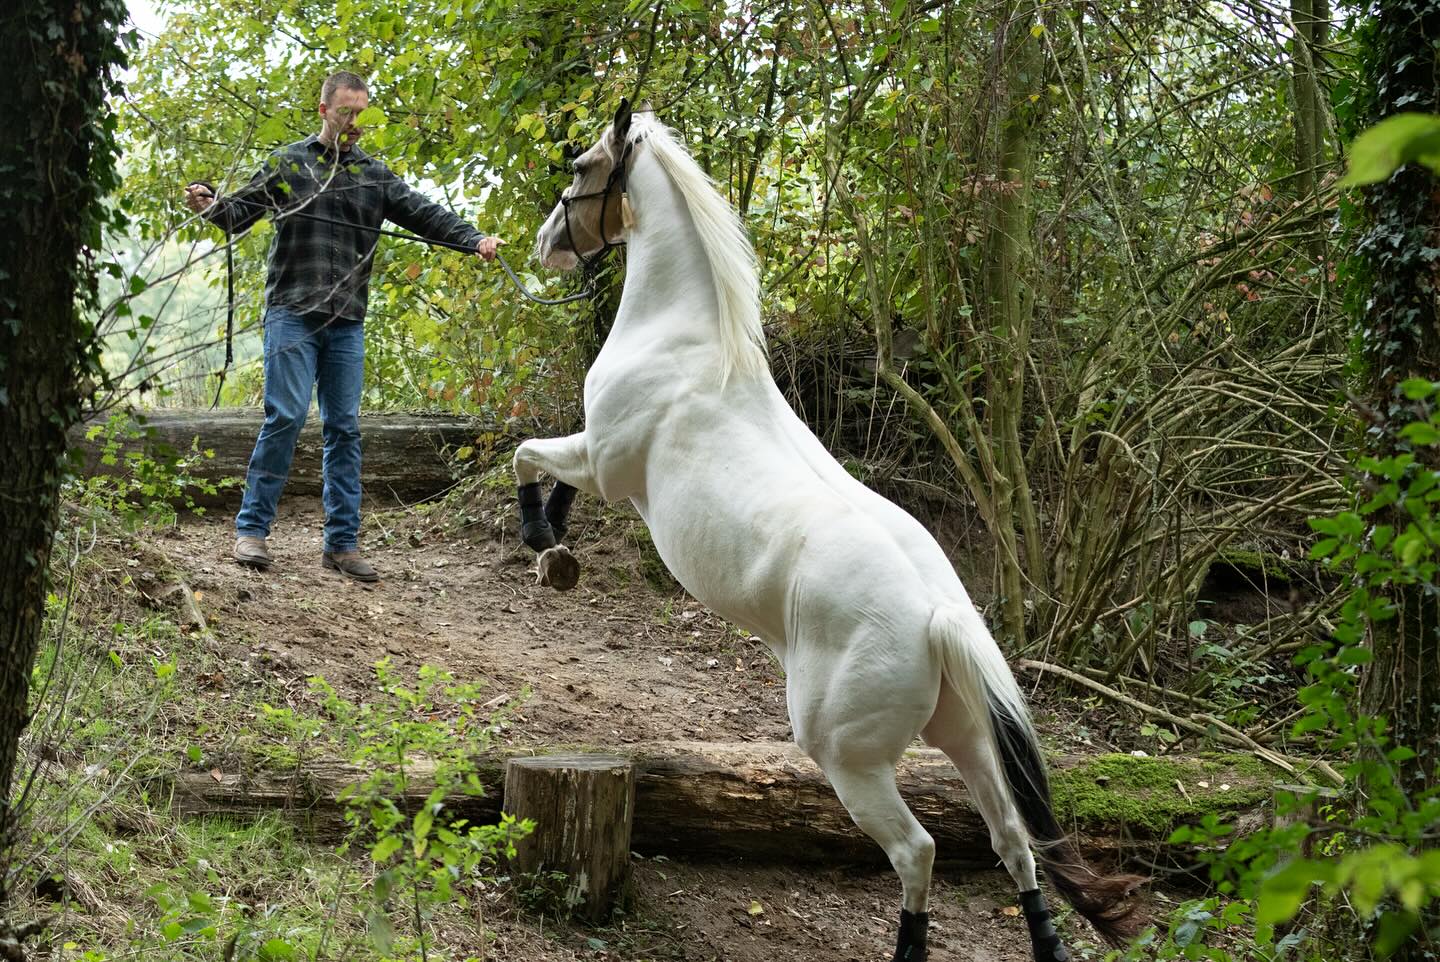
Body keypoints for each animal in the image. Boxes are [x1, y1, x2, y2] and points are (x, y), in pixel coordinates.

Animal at [512, 100, 1143, 962]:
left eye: (580, 168)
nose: (544, 244)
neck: (685, 344)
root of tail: (938, 615)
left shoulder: (607, 461)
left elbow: (528, 456)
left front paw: (544, 546)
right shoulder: (603, 462)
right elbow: (548, 471)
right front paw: (555, 544)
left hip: (848, 757)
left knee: (918, 852)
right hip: (965, 738)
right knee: (1014, 841)